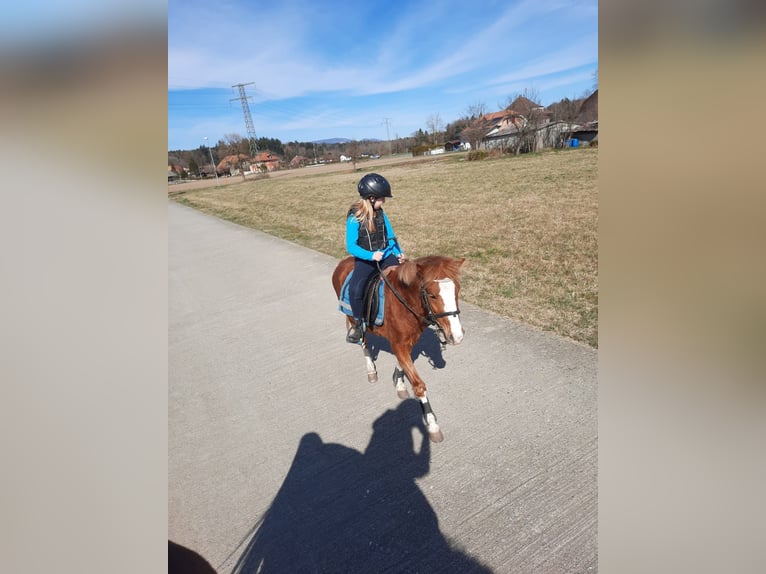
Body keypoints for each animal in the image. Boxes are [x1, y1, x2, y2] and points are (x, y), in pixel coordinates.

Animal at [332, 258, 464, 446]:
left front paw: (399, 383)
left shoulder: (408, 341)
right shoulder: (397, 343)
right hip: (355, 321)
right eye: (431, 295)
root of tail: (344, 262)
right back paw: (371, 371)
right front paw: (433, 426)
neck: (405, 303)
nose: (457, 336)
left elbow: (403, 363)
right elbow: (418, 385)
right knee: (363, 344)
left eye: (457, 289)